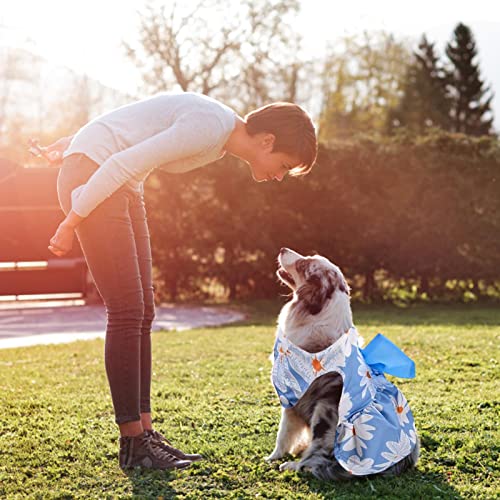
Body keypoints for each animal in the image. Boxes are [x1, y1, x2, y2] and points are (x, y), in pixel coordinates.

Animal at [266, 249, 418, 480]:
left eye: (304, 264)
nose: (283, 249)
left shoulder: (291, 399)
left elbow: (283, 434)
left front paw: (273, 458)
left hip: (325, 412)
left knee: (316, 459)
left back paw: (293, 465)